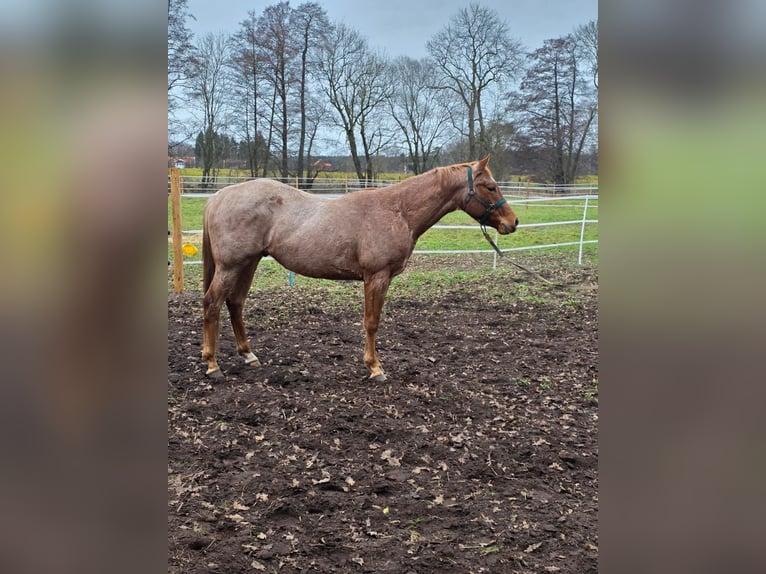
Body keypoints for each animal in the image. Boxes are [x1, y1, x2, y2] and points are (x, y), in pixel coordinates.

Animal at [201, 156, 518, 381]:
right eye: (490, 187)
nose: (512, 222)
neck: (398, 210)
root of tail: (219, 196)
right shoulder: (377, 277)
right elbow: (371, 322)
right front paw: (375, 368)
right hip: (231, 266)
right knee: (212, 303)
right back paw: (213, 365)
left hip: (248, 263)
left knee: (235, 303)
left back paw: (248, 355)